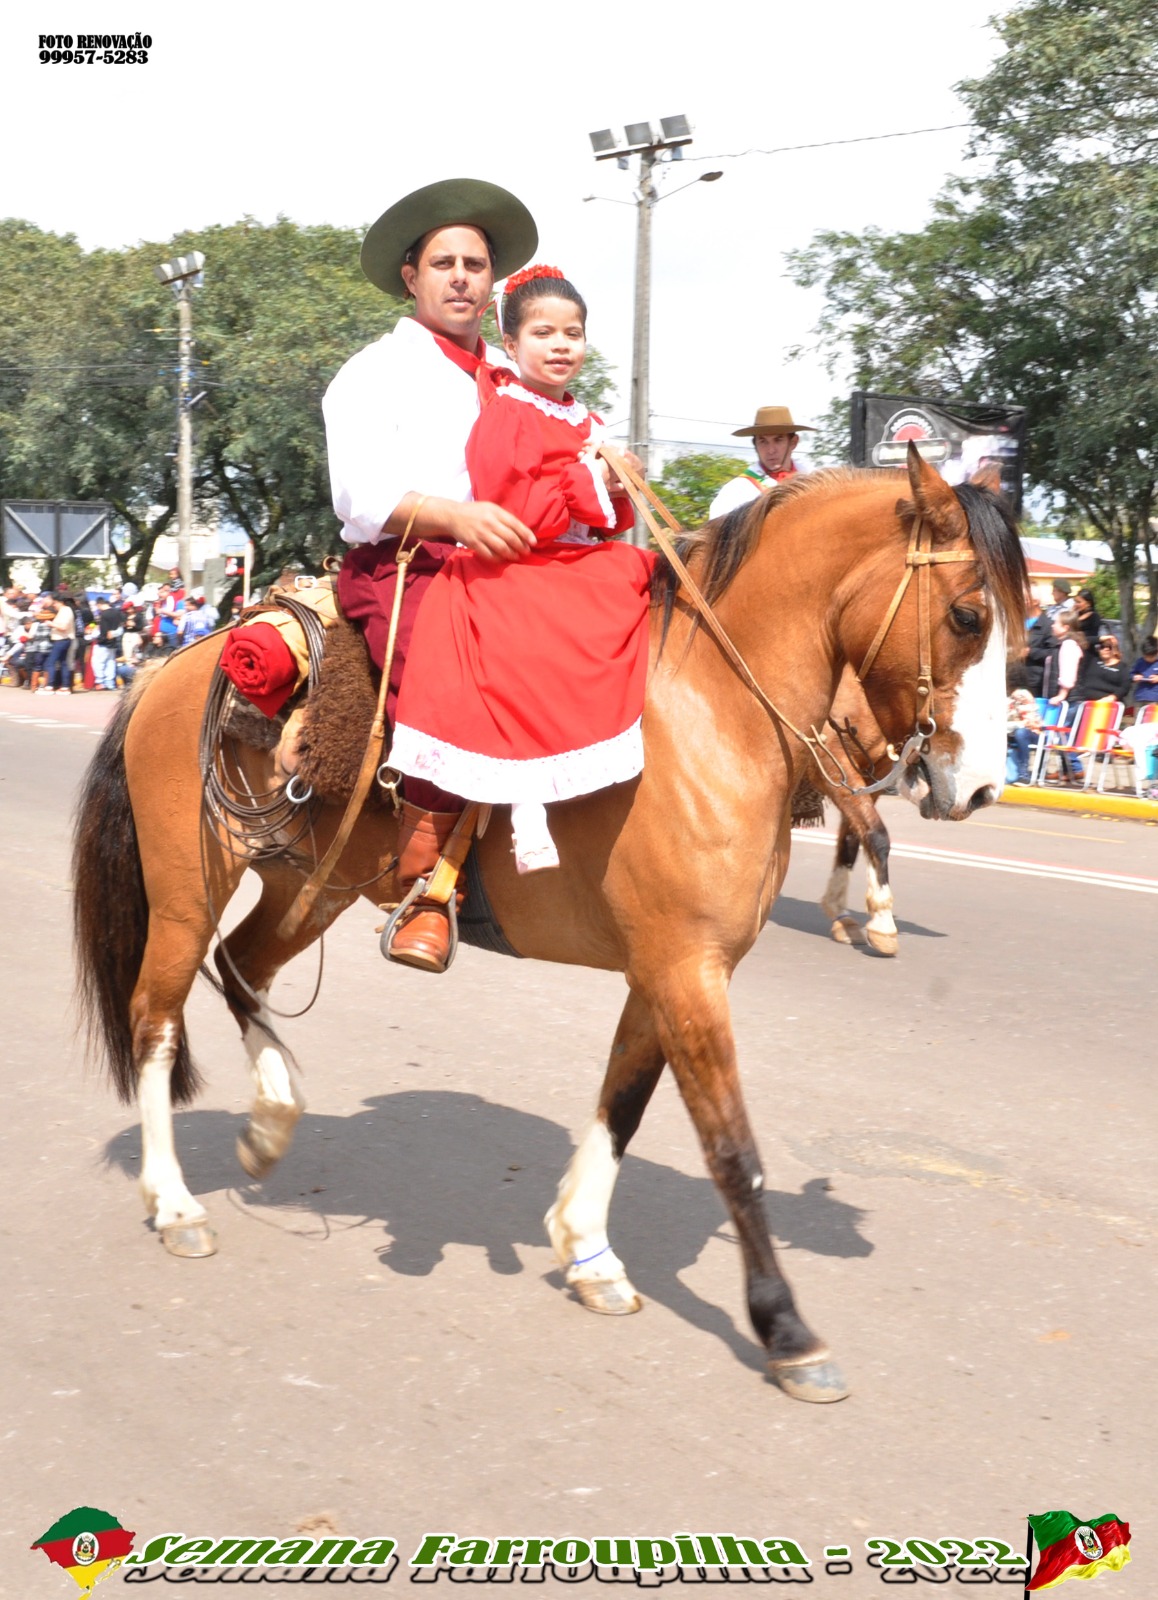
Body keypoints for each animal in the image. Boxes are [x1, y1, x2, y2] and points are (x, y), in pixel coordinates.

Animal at [72, 449, 1027, 1404]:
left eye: (1022, 630)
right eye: (968, 615)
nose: (981, 786)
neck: (713, 711)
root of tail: (171, 664)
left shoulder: (666, 971)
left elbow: (622, 1104)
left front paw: (588, 1250)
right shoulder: (687, 969)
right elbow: (732, 1149)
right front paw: (786, 1328)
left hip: (312, 886)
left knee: (244, 969)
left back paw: (271, 1123)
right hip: (190, 888)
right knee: (157, 1018)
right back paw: (175, 1201)